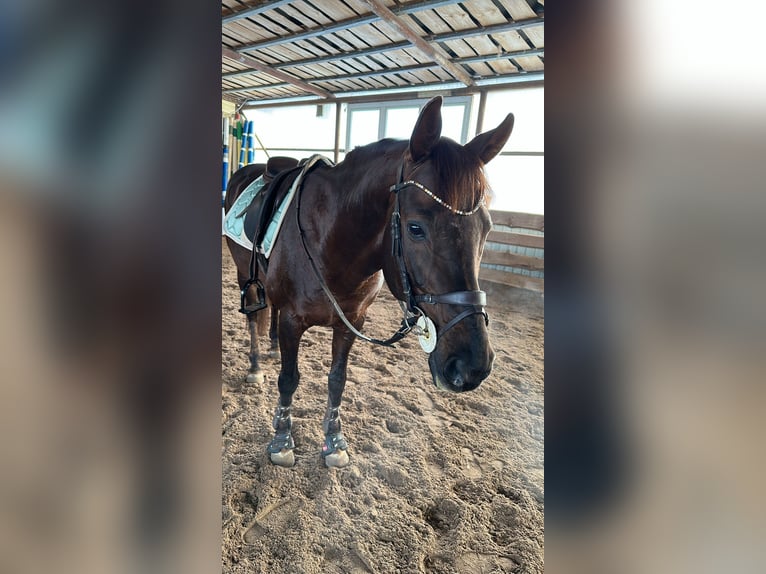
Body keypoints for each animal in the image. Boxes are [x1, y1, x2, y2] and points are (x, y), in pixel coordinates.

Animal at [224, 97, 516, 470]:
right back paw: (257, 365)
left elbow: (337, 380)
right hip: (244, 276)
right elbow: (289, 379)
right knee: (252, 319)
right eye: (415, 228)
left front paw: (334, 442)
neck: (331, 241)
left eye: (487, 228)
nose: (472, 365)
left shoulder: (352, 322)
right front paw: (282, 440)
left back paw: (273, 346)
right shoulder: (292, 319)